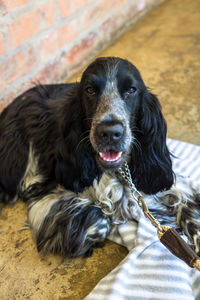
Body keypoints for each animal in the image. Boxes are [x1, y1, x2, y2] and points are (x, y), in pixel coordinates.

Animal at [0, 56, 199, 258]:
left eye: (131, 90)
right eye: (90, 90)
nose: (110, 132)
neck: (119, 172)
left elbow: (187, 202)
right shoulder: (46, 198)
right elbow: (99, 219)